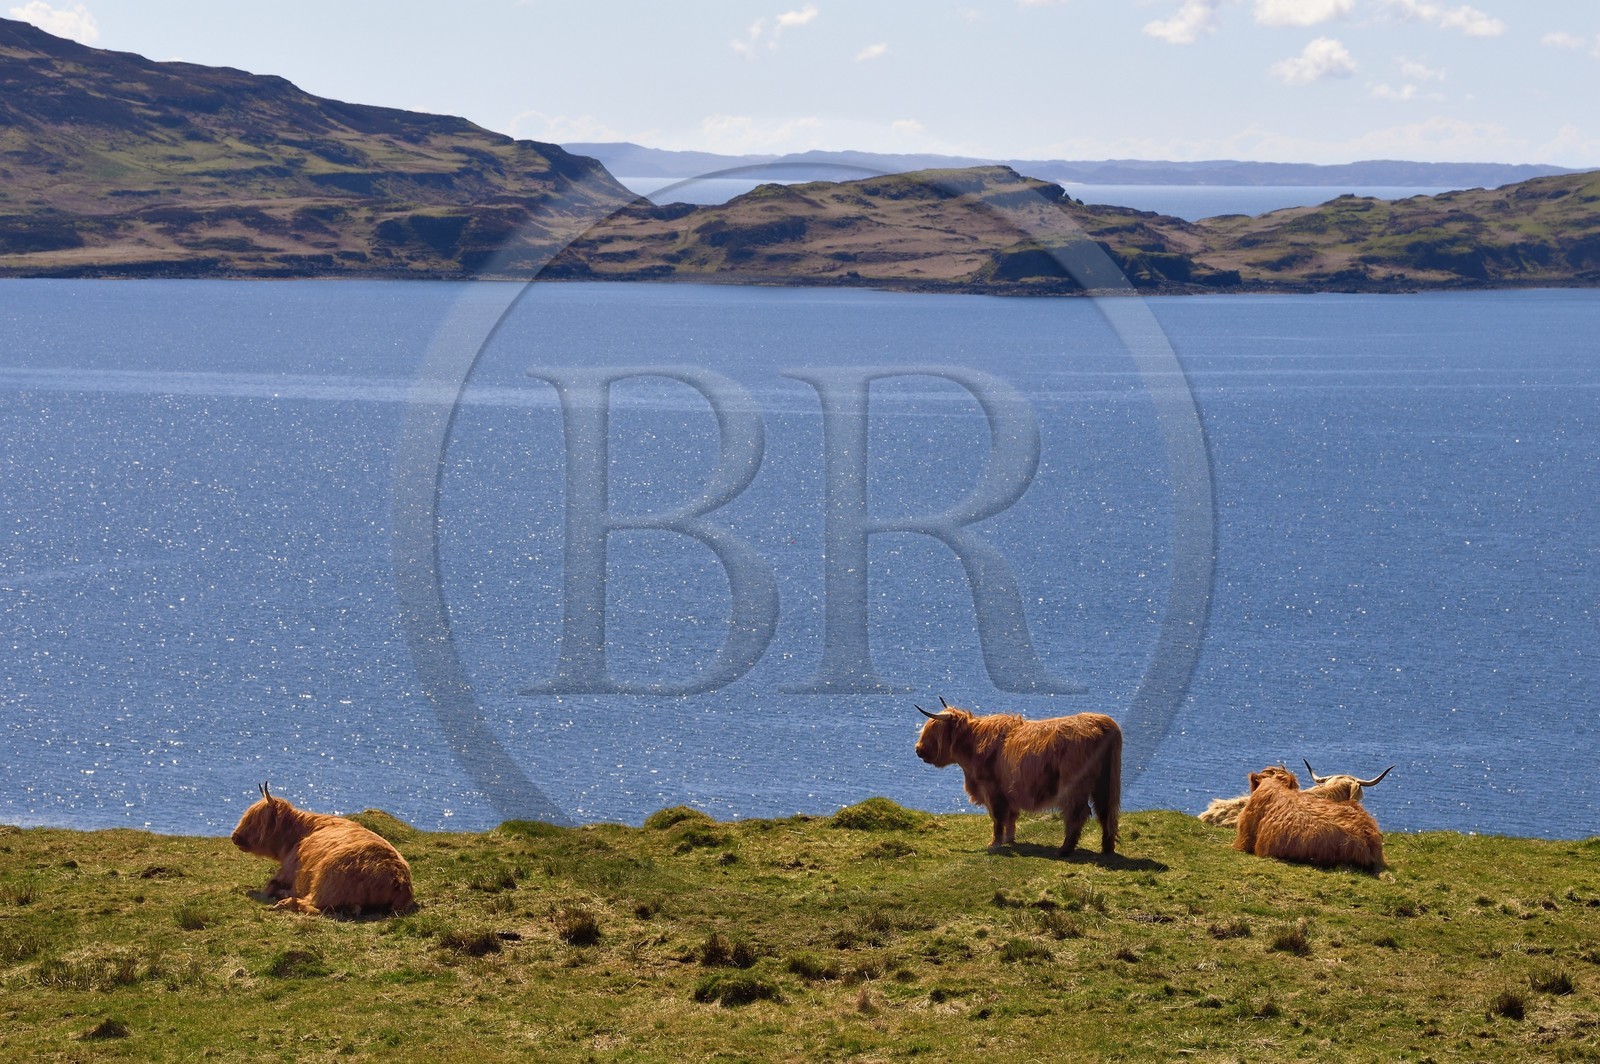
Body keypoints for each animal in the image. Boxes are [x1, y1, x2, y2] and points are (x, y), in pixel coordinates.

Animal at [230, 783, 414, 916]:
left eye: (255, 821)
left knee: (314, 906)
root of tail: (398, 878)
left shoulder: (289, 872)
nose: (235, 837)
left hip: (327, 879)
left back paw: (284, 901)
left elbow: (270, 885)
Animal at [915, 698, 1121, 857]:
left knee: (1078, 813)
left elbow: (997, 817)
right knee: (1105, 811)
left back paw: (1064, 850)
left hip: (1075, 786)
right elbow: (1011, 817)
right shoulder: (1009, 793)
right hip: (1105, 782)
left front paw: (995, 843)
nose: (918, 749)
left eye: (933, 731)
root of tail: (1104, 724)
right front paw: (1009, 839)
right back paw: (1107, 848)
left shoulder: (992, 789)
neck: (973, 744)